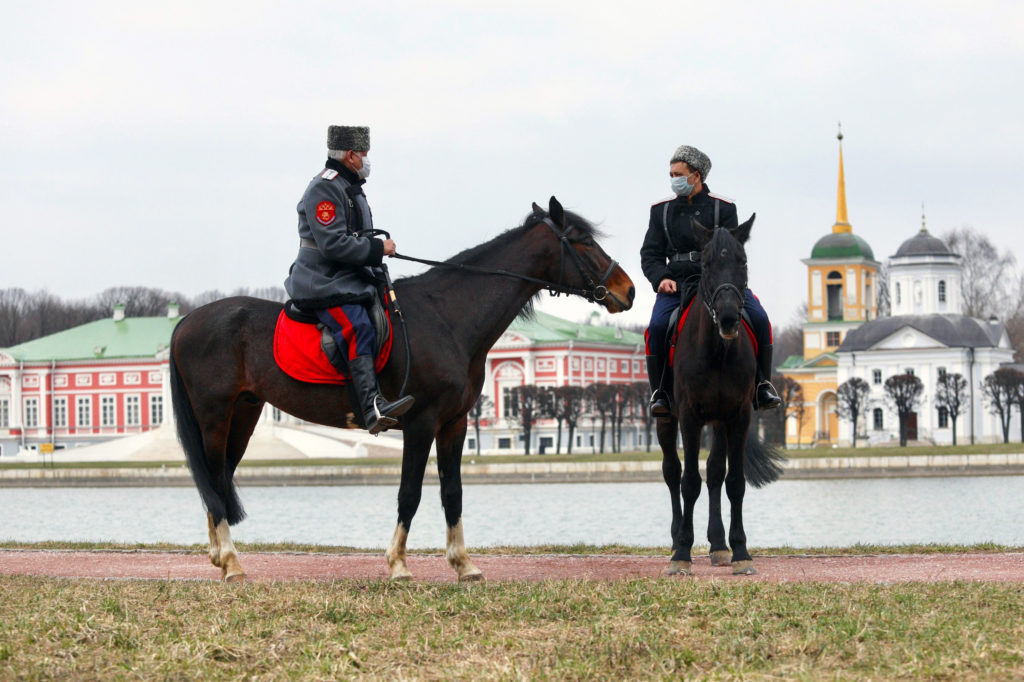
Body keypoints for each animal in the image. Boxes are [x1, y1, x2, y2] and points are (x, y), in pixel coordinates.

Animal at [172, 195, 634, 577]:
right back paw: (231, 562)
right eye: (583, 241)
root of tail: (186, 320)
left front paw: (463, 564)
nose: (627, 290)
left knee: (219, 478)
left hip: (244, 416)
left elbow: (452, 491)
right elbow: (409, 492)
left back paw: (220, 556)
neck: (446, 316)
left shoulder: (455, 423)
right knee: (214, 480)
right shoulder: (420, 422)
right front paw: (397, 565)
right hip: (215, 417)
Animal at [655, 215, 782, 577]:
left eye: (743, 261)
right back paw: (675, 543)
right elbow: (688, 482)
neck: (717, 351)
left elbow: (733, 481)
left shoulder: (737, 415)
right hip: (667, 421)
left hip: (720, 423)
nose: (727, 317)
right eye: (707, 264)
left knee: (714, 473)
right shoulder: (690, 416)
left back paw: (718, 545)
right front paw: (683, 552)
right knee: (672, 473)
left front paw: (739, 551)